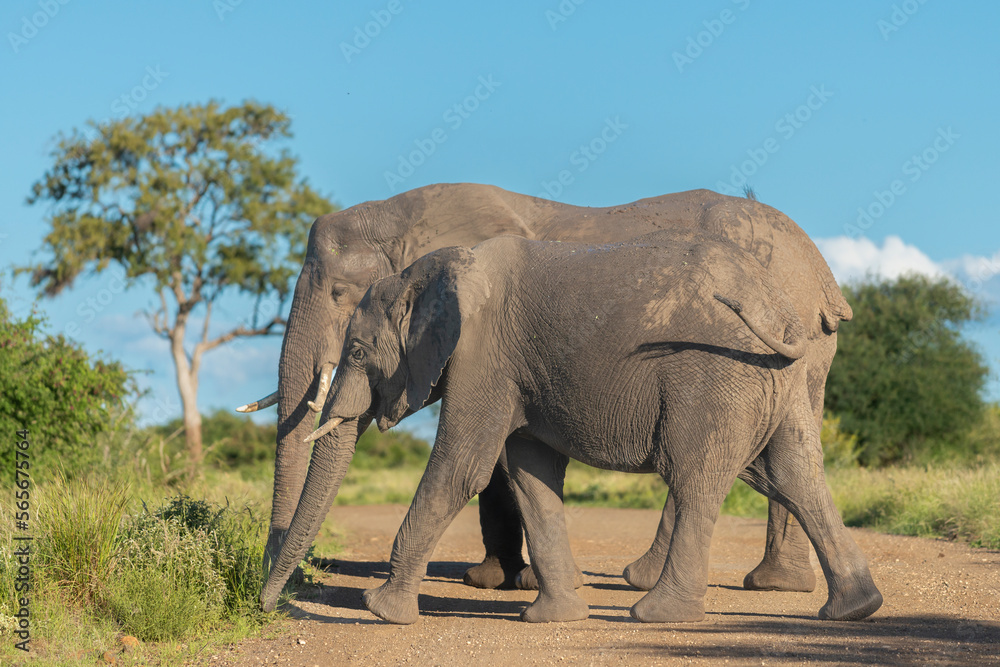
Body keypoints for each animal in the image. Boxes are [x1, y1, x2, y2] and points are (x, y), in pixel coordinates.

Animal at [238, 183, 852, 593]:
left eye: (340, 294)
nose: (282, 597)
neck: (405, 217)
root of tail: (824, 277)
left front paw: (505, 583)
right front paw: (496, 579)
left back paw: (666, 581)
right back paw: (771, 584)